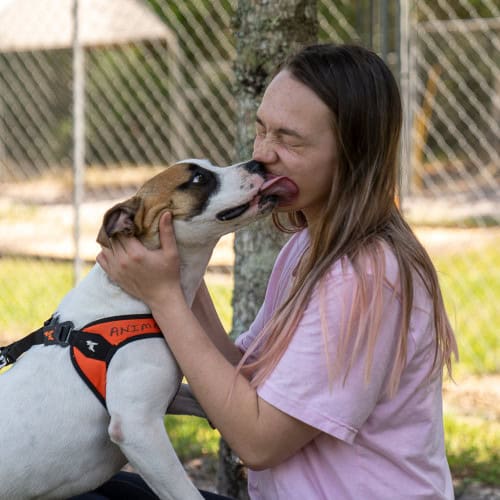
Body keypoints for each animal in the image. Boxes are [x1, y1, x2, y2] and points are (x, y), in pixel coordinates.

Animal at [0, 160, 296, 500]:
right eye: (199, 178)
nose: (257, 163)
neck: (129, 298)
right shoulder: (136, 427)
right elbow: (186, 493)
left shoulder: (167, 399)